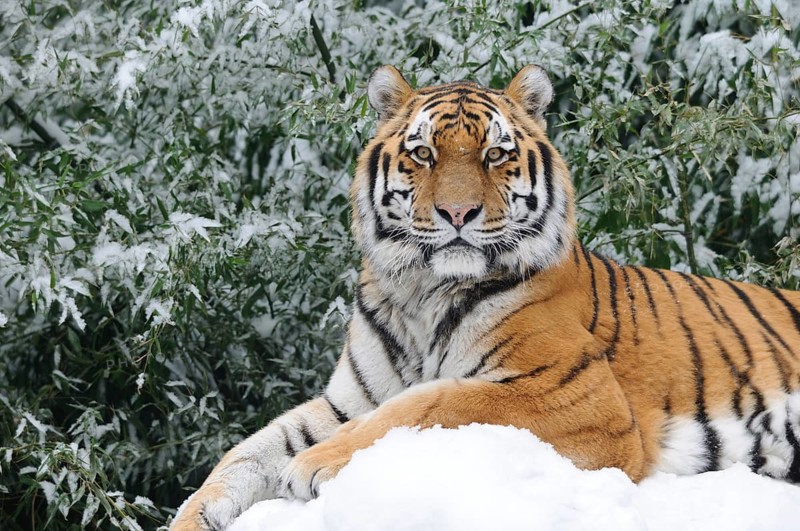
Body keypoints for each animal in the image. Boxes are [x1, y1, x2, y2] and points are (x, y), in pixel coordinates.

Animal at [171, 65, 800, 530]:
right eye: (423, 154)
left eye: (494, 155)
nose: (457, 213)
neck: (421, 293)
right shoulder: (347, 402)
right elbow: (247, 453)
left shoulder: (575, 395)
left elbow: (435, 403)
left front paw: (314, 464)